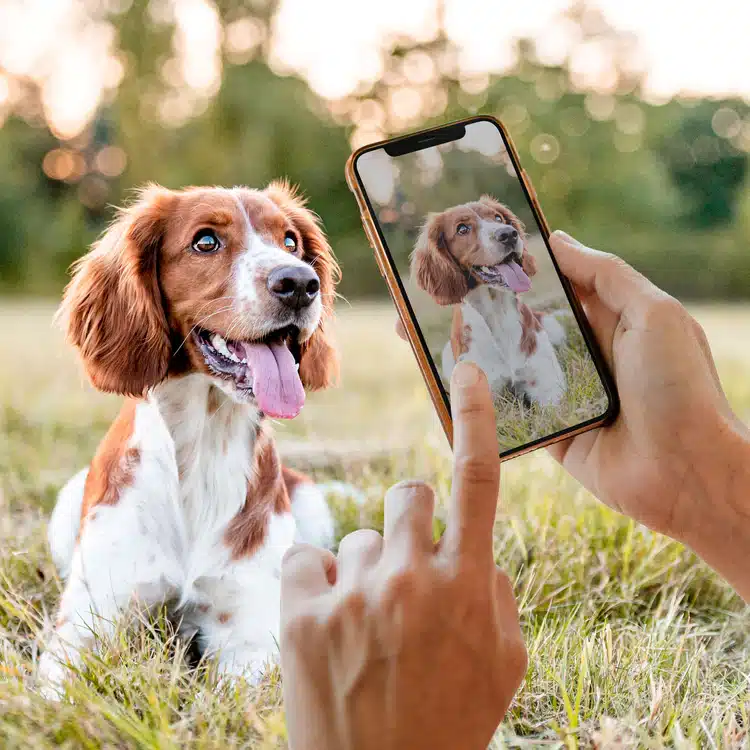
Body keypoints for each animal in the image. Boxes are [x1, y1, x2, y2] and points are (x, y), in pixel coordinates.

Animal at [42, 182, 342, 700]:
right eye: (206, 242)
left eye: (290, 241)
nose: (301, 283)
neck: (201, 449)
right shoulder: (83, 628)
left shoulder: (248, 636)